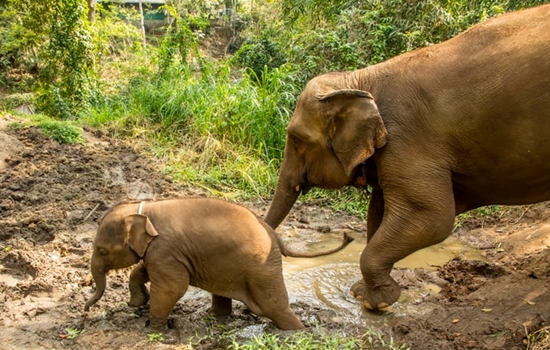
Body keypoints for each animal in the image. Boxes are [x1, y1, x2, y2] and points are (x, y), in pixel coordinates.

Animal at [85, 198, 354, 330]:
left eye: (102, 250)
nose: (86, 310)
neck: (142, 209)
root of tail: (274, 235)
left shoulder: (165, 249)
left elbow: (174, 287)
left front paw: (153, 329)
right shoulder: (160, 252)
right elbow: (142, 270)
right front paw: (137, 303)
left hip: (262, 270)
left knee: (275, 306)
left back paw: (297, 332)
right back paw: (215, 317)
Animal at [264, 4, 550, 310]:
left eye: (295, 139)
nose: (345, 235)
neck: (360, 79)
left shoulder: (408, 139)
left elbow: (431, 216)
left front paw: (376, 302)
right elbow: (378, 212)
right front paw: (364, 295)